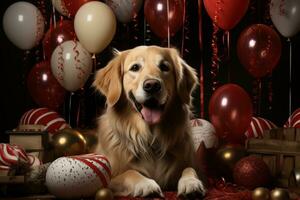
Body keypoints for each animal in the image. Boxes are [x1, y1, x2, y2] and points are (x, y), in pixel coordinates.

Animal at [93, 45, 206, 198]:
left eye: (164, 67)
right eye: (135, 67)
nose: (152, 85)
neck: (151, 139)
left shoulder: (194, 166)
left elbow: (189, 169)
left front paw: (191, 183)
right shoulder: (109, 179)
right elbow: (130, 172)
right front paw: (146, 184)